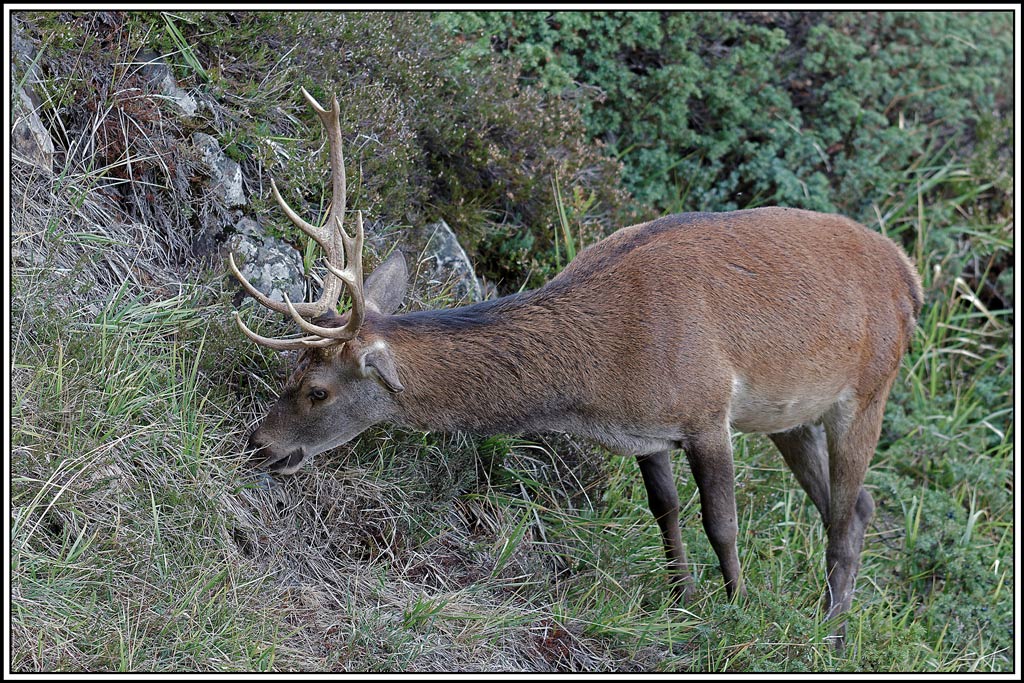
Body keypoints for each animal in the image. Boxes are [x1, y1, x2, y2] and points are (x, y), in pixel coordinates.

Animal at [229, 88, 923, 643]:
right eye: (290, 375)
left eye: (316, 390)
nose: (259, 443)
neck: (602, 373)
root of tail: (910, 275)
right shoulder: (650, 432)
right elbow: (666, 509)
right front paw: (684, 603)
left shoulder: (707, 408)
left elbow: (721, 522)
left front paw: (735, 611)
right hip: (792, 415)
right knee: (857, 506)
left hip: (870, 389)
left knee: (844, 514)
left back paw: (831, 634)